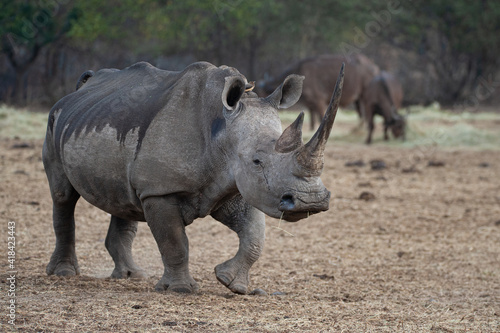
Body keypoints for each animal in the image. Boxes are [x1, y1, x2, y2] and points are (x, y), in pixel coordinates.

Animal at [44, 60, 344, 294]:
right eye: (257, 161)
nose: (311, 201)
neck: (222, 129)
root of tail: (81, 88)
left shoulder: (237, 184)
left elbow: (255, 237)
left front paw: (232, 283)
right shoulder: (160, 190)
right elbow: (175, 242)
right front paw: (180, 289)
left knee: (123, 199)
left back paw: (132, 276)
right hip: (54, 121)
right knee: (63, 197)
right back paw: (63, 273)